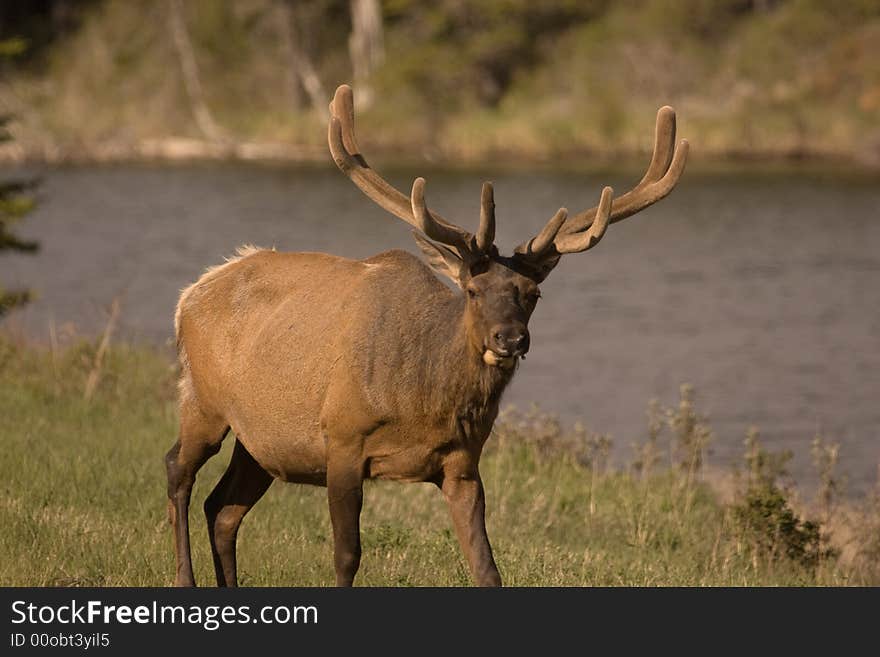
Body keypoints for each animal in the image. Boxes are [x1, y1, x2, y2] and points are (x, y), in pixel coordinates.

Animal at [165, 84, 688, 588]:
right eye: (473, 290)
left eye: (532, 292)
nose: (511, 339)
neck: (421, 402)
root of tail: (191, 292)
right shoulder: (343, 439)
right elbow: (347, 556)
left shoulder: (462, 463)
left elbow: (486, 567)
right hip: (203, 400)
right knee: (178, 471)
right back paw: (184, 578)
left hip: (260, 441)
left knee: (223, 508)